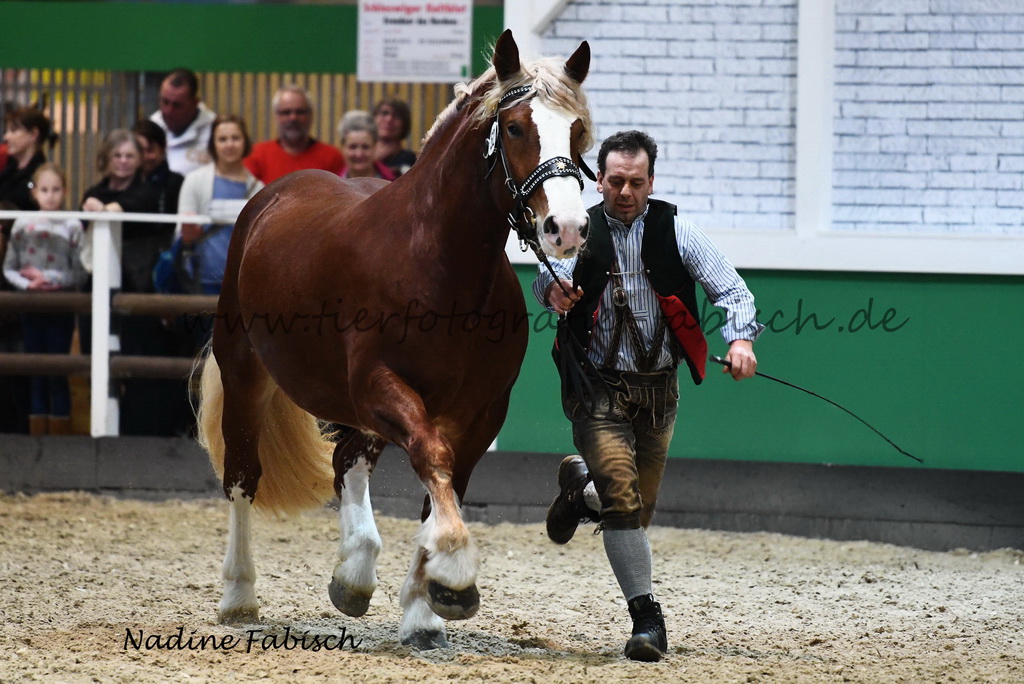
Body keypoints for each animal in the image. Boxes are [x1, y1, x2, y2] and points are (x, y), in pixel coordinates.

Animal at [196, 30, 593, 650]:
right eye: (514, 127)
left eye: (577, 130)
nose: (567, 228)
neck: (435, 264)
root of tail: (270, 197)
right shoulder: (381, 385)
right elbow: (432, 458)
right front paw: (453, 571)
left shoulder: (480, 412)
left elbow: (444, 482)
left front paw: (426, 606)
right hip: (246, 372)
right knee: (242, 474)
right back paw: (239, 595)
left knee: (348, 461)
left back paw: (354, 574)